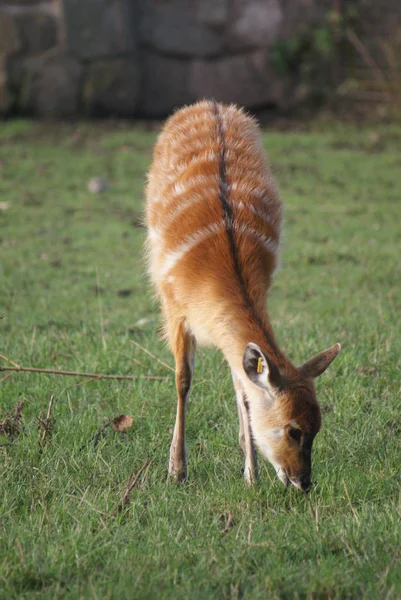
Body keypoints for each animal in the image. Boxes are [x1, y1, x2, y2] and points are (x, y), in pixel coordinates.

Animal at [145, 99, 340, 492]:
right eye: (293, 430)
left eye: (317, 428)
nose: (303, 482)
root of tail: (209, 104)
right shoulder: (174, 307)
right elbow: (182, 379)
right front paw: (176, 469)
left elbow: (242, 386)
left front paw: (251, 473)